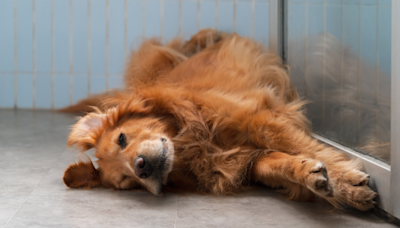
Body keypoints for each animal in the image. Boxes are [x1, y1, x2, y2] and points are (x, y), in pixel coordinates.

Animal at [62, 29, 378, 211]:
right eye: (127, 183)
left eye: (122, 138)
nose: (141, 167)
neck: (193, 144)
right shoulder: (249, 161)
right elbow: (283, 164)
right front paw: (315, 177)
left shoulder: (259, 120)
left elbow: (308, 146)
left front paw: (347, 182)